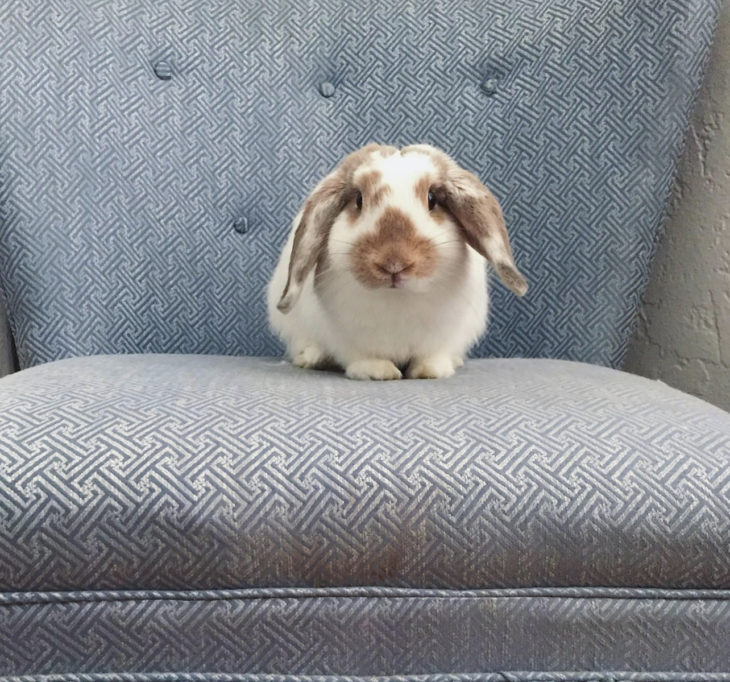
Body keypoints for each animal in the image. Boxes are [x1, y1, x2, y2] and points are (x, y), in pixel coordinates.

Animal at [267, 143, 527, 381]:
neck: (397, 299)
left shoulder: (445, 336)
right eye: (359, 200)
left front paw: (429, 371)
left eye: (432, 199)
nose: (393, 263)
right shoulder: (345, 338)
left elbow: (431, 356)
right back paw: (313, 358)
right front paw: (378, 371)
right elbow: (361, 357)